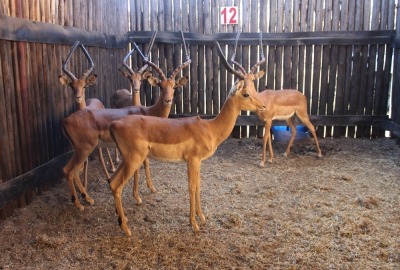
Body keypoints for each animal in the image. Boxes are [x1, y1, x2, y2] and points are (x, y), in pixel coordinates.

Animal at [58, 41, 116, 188]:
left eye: (84, 86)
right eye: (72, 86)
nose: (78, 97)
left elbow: (100, 156)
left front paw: (108, 177)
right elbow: (85, 161)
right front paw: (84, 184)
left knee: (105, 151)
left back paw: (112, 168)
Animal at [108, 42, 268, 236]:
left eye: (253, 89)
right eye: (245, 94)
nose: (263, 106)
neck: (210, 128)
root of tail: (114, 124)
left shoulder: (198, 162)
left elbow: (198, 185)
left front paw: (202, 217)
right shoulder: (192, 160)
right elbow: (192, 187)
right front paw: (194, 224)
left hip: (127, 160)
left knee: (111, 182)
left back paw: (120, 219)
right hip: (133, 160)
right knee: (117, 185)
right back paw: (126, 228)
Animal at [219, 32, 322, 168]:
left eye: (253, 79)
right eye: (243, 79)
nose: (246, 89)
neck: (262, 99)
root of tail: (301, 94)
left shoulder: (268, 120)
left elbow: (264, 138)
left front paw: (262, 162)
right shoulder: (265, 121)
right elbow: (268, 138)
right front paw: (271, 159)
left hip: (302, 115)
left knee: (312, 127)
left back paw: (319, 154)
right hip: (289, 118)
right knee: (294, 130)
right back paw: (286, 153)